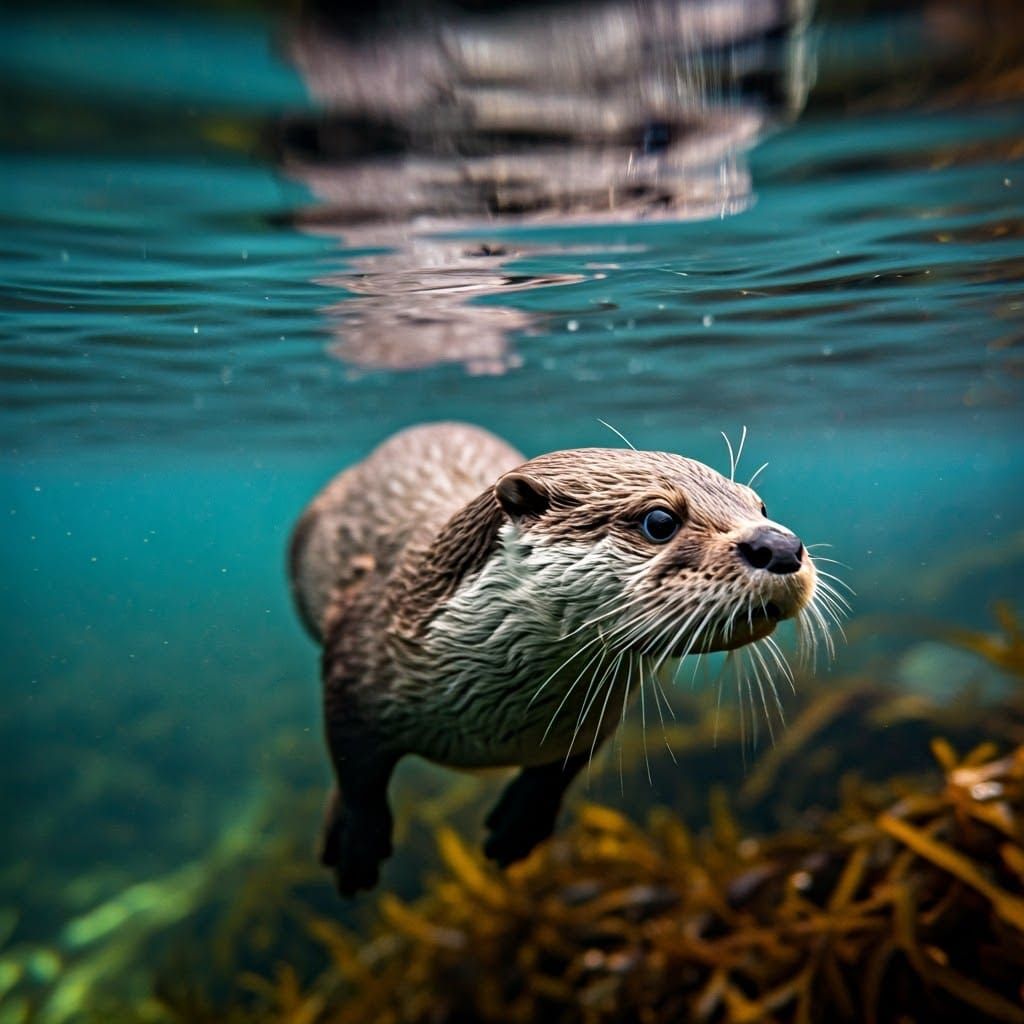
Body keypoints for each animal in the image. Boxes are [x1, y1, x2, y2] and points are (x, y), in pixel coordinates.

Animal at [288, 422, 825, 895]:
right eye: (659, 521)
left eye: (760, 505)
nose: (780, 545)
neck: (489, 719)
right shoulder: (354, 670)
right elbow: (357, 773)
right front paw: (358, 844)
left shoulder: (594, 717)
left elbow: (560, 770)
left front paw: (517, 829)